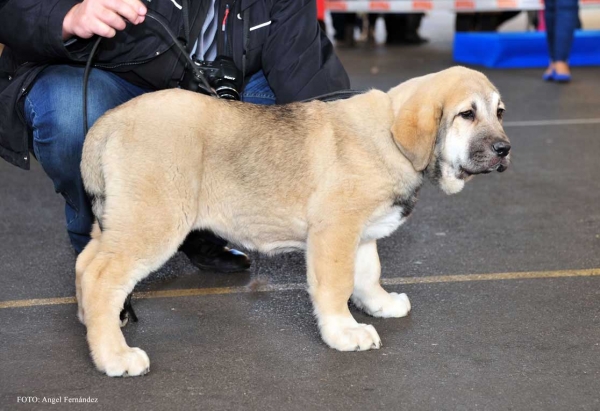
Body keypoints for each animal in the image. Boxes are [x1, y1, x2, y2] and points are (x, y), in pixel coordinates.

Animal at [76, 67, 510, 376]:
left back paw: (91, 324)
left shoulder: (361, 233)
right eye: (466, 114)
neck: (389, 138)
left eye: (499, 112)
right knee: (102, 277)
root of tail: (108, 122)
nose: (505, 148)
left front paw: (380, 304)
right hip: (152, 221)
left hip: (118, 220)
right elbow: (337, 286)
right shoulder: (335, 231)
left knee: (84, 263)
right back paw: (114, 356)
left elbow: (368, 273)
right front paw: (344, 332)